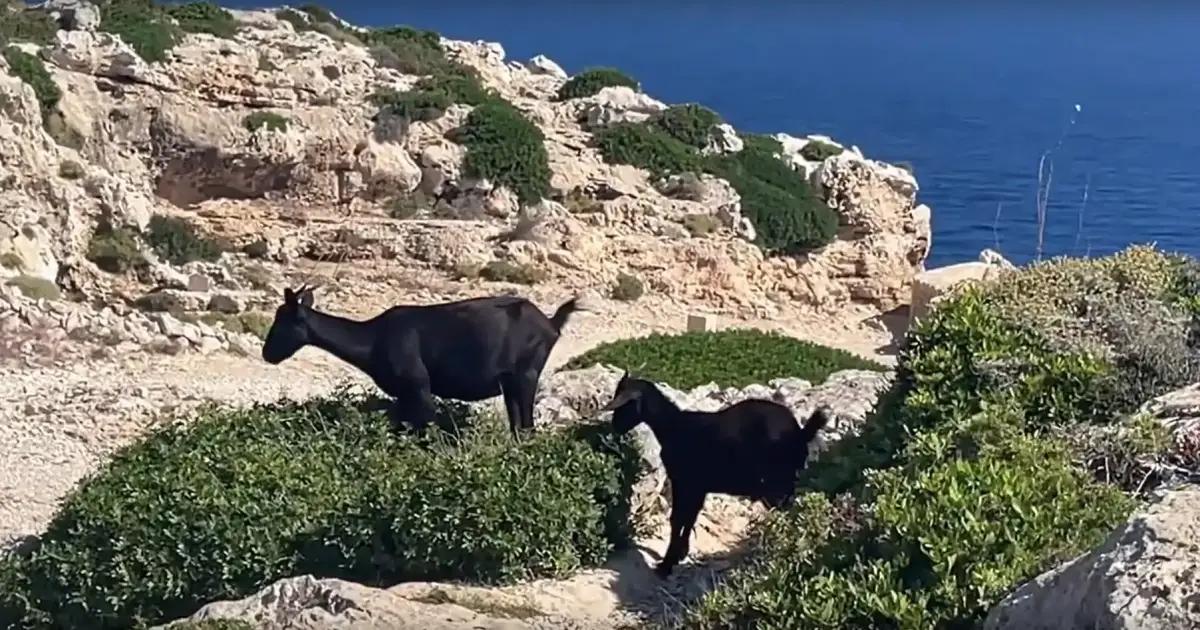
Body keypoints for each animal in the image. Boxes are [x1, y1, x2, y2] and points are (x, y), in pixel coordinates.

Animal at [261, 285, 582, 438]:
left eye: (283, 320)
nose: (268, 353)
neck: (374, 339)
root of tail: (551, 324)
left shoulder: (419, 387)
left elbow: (427, 430)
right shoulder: (403, 395)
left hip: (527, 375)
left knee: (526, 427)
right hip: (511, 383)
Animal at [599, 372, 828, 578]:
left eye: (624, 404)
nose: (616, 426)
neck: (674, 426)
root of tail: (800, 434)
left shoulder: (683, 481)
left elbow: (677, 519)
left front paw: (666, 565)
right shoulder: (699, 487)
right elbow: (690, 518)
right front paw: (681, 553)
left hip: (777, 483)